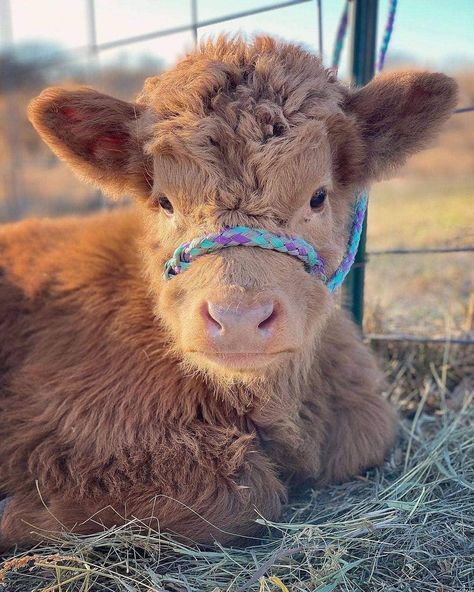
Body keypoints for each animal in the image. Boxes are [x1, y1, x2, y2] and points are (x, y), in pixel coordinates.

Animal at [0, 34, 460, 548]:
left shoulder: (360, 413)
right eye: (165, 202)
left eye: (318, 196)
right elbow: (241, 494)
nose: (239, 319)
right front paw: (21, 513)